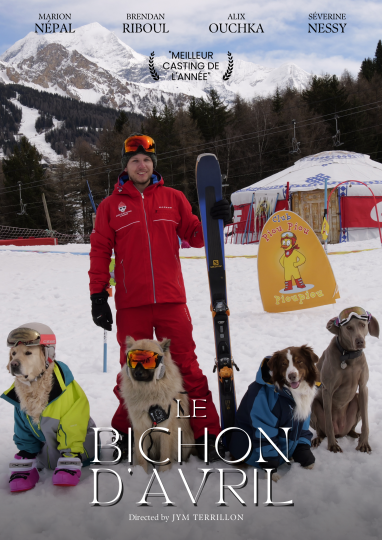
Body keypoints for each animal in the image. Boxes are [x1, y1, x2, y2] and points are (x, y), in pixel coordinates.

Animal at [118, 336, 195, 470]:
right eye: (133, 360)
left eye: (148, 361)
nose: (137, 373)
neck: (148, 392)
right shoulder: (140, 429)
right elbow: (141, 457)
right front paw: (142, 472)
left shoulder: (166, 430)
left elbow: (165, 456)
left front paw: (164, 473)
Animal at [310, 308, 380, 452]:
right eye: (348, 327)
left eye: (362, 325)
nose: (359, 341)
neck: (348, 355)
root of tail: (341, 432)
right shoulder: (327, 390)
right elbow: (329, 423)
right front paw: (332, 445)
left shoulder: (363, 387)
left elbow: (366, 422)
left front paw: (364, 443)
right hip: (314, 407)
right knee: (322, 430)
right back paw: (319, 439)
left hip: (356, 403)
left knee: (351, 429)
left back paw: (355, 434)